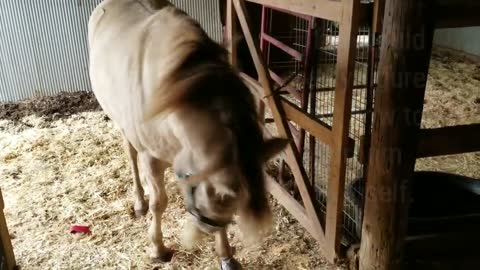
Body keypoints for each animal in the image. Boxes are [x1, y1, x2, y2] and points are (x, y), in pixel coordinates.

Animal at [88, 0, 286, 268]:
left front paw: (226, 255)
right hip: (120, 122)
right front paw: (158, 248)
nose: (203, 228)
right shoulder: (151, 157)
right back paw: (139, 202)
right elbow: (158, 203)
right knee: (131, 156)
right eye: (222, 195)